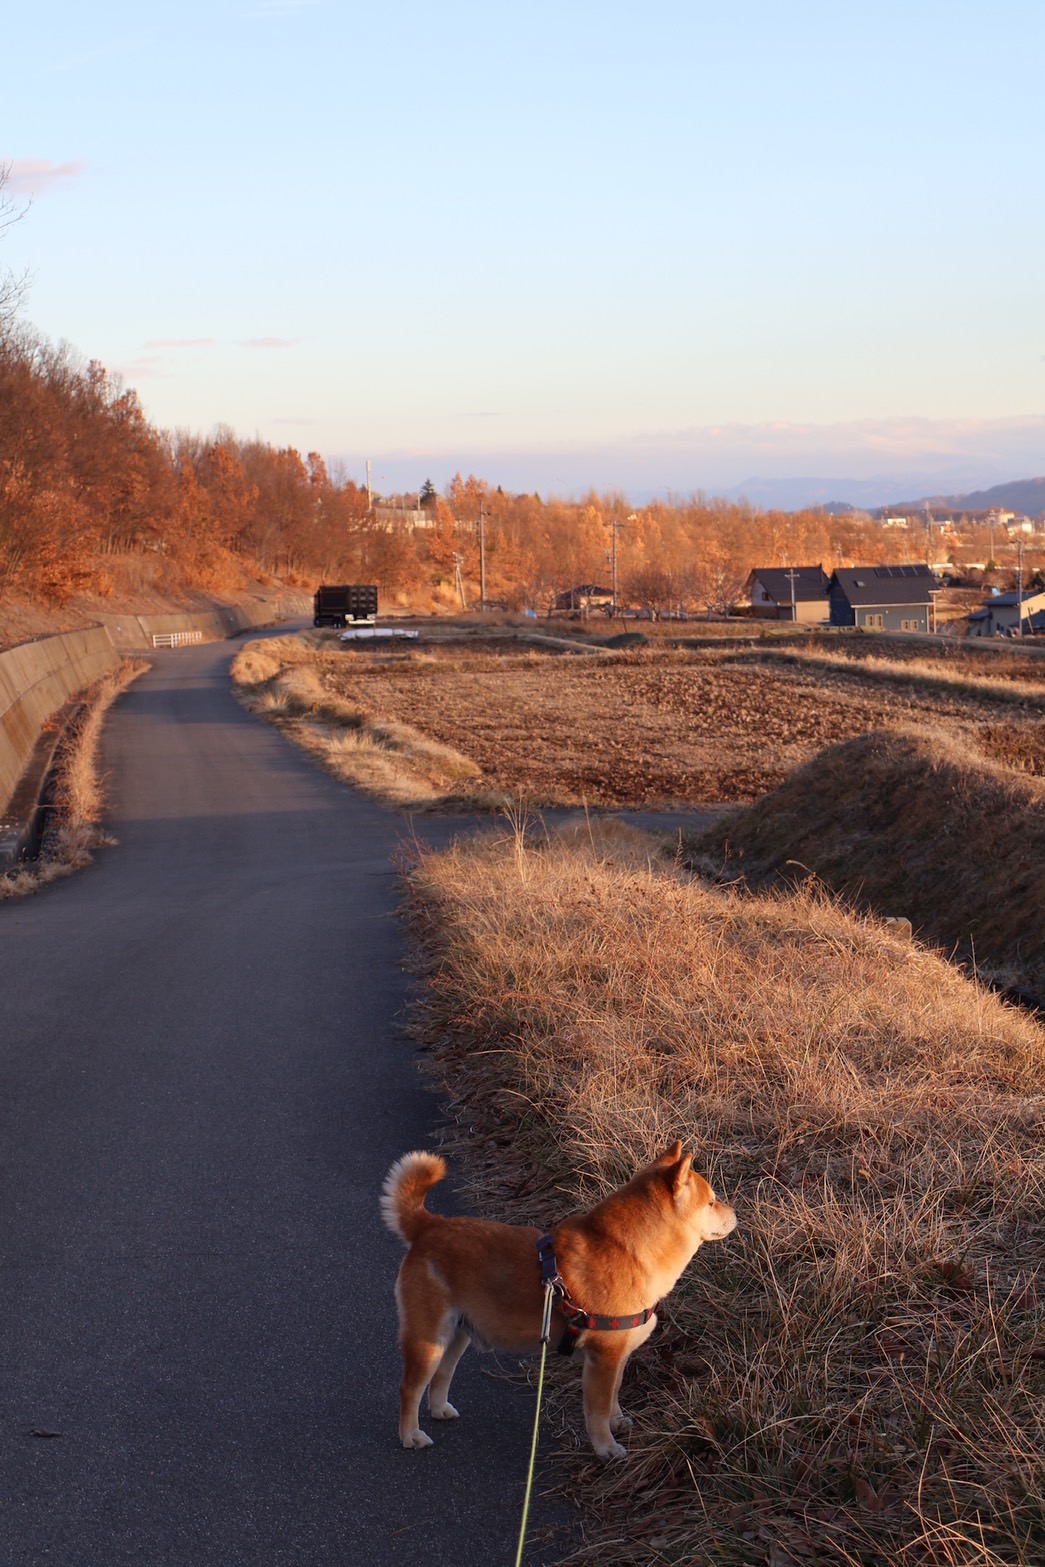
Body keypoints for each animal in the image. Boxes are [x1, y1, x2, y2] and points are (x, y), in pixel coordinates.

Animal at [382, 1140, 736, 1454]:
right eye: (711, 1202)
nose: (735, 1213)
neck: (630, 1252)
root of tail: (429, 1226)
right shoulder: (603, 1359)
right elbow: (598, 1412)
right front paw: (606, 1447)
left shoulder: (618, 1357)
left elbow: (614, 1398)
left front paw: (618, 1422)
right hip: (429, 1339)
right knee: (409, 1387)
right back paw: (411, 1434)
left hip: (456, 1337)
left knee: (441, 1376)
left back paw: (440, 1409)